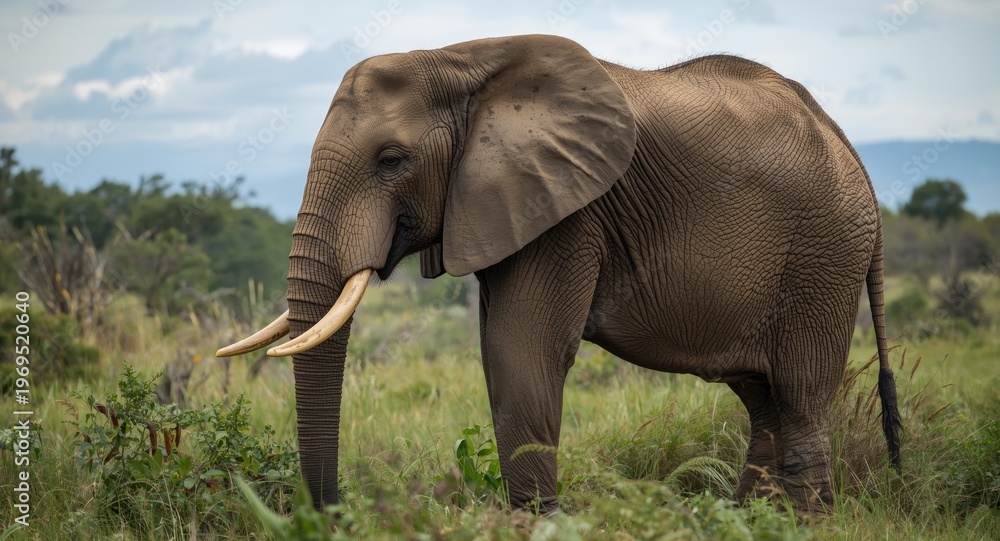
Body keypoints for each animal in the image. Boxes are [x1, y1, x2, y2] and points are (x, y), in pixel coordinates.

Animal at [218, 34, 902, 515]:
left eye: (392, 160)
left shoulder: (567, 211)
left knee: (801, 393)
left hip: (822, 256)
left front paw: (540, 523)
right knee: (763, 400)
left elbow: (520, 350)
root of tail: (849, 146)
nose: (333, 514)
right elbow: (505, 352)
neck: (462, 62)